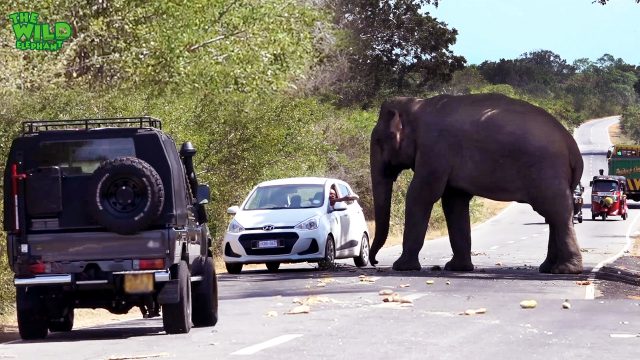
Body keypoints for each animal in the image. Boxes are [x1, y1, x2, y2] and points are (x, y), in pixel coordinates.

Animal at [370, 93, 584, 272]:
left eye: (379, 141)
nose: (375, 261)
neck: (417, 105)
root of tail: (572, 147)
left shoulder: (434, 149)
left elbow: (421, 195)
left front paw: (401, 267)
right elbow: (454, 202)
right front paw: (457, 268)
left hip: (546, 171)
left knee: (557, 211)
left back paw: (565, 270)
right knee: (554, 215)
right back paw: (548, 268)